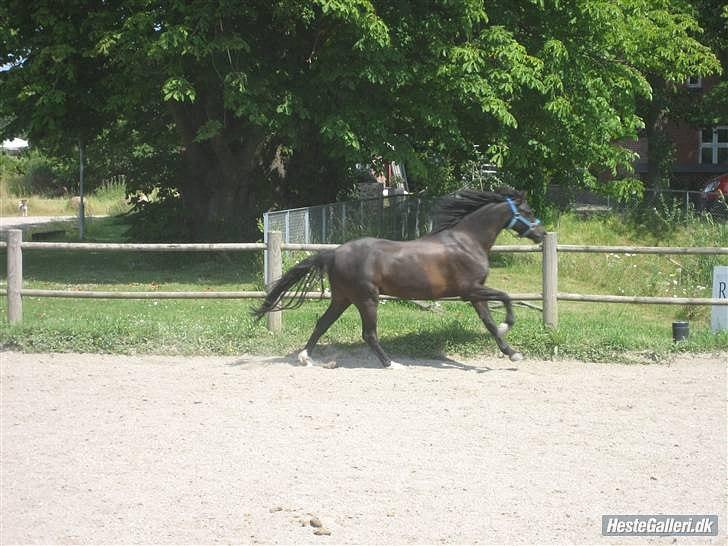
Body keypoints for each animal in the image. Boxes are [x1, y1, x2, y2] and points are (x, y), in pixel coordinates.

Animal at [253, 189, 545, 367]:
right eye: (528, 212)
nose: (542, 234)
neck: (467, 241)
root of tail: (334, 253)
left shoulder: (475, 294)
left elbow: (489, 324)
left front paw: (513, 353)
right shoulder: (470, 290)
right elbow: (506, 298)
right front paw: (509, 325)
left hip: (343, 298)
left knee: (323, 323)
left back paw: (306, 358)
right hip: (367, 299)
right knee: (369, 334)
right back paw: (391, 363)